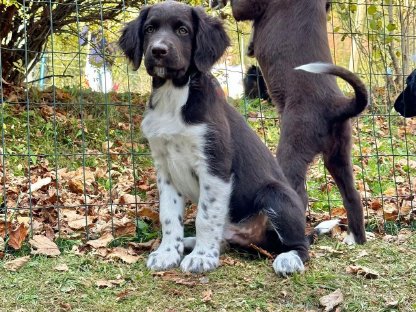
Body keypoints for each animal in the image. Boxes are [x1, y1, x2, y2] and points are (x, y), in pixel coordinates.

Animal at [119, 1, 316, 276]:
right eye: (149, 29)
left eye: (182, 30)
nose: (158, 50)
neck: (174, 95)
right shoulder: (164, 169)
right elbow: (169, 215)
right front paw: (168, 253)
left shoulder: (215, 165)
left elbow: (205, 216)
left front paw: (202, 258)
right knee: (224, 238)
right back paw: (189, 243)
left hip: (276, 195)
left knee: (300, 244)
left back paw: (289, 258)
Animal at [214, 0, 368, 244]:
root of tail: (337, 105)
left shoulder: (250, 6)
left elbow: (240, 9)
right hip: (338, 155)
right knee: (352, 196)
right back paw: (355, 239)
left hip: (292, 150)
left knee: (297, 195)